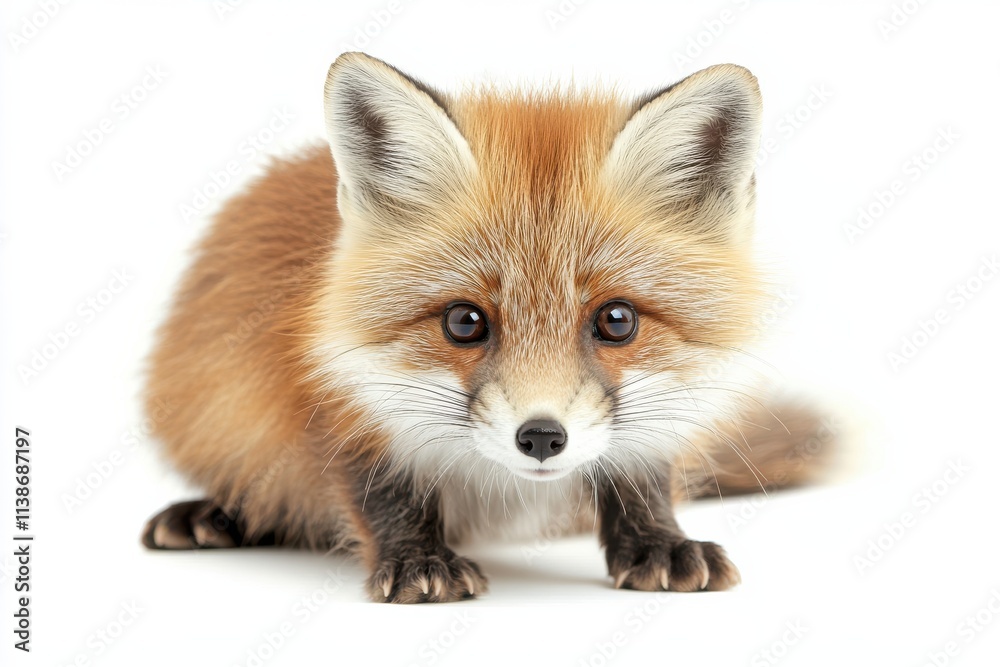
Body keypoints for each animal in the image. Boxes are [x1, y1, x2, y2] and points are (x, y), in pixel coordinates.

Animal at [141, 52, 832, 602]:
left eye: (616, 320)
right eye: (464, 321)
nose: (543, 438)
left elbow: (640, 482)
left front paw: (658, 544)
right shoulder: (336, 402)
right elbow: (382, 490)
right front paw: (418, 560)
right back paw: (213, 514)